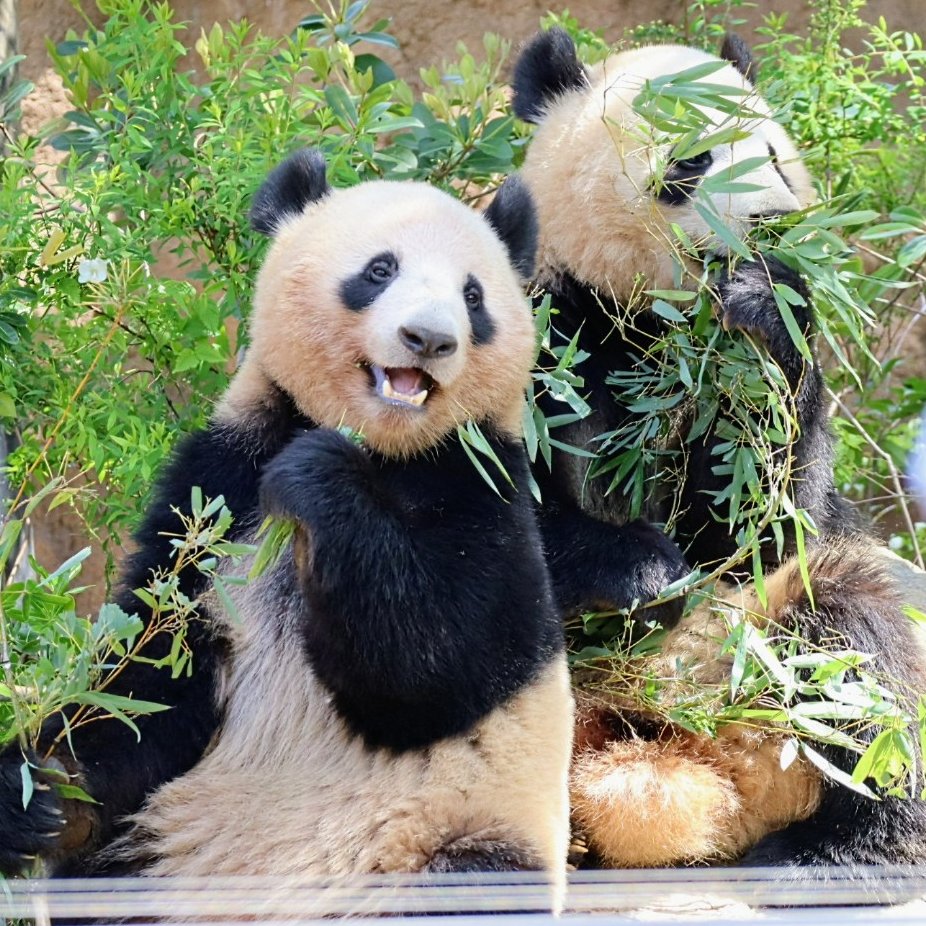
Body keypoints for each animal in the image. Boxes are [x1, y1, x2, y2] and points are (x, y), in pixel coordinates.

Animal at [0, 149, 572, 896]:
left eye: (473, 297)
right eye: (380, 270)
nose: (429, 339)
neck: (381, 446)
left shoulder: (483, 478)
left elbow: (445, 664)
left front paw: (315, 476)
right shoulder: (218, 486)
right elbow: (152, 676)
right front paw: (34, 796)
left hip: (453, 833)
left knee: (474, 878)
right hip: (154, 845)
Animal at [512, 30, 926, 884]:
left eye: (772, 156)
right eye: (694, 160)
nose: (766, 224)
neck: (659, 329)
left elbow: (766, 522)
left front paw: (767, 295)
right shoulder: (539, 331)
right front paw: (642, 573)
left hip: (774, 659)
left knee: (858, 641)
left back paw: (842, 850)